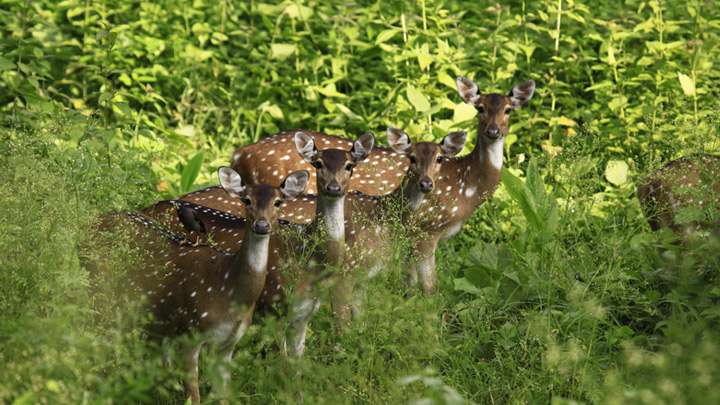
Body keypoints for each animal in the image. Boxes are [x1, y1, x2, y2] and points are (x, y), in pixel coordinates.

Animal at [96, 167, 310, 400]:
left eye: (278, 202)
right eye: (247, 200)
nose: (262, 225)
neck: (227, 285)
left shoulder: (227, 344)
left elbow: (224, 396)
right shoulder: (189, 332)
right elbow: (194, 396)